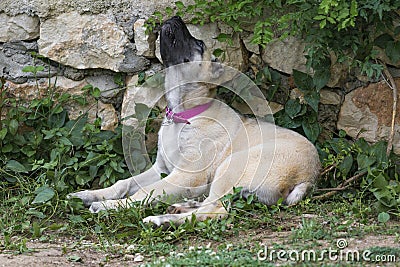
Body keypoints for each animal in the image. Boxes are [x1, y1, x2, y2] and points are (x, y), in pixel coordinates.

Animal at [68, 16, 318, 226]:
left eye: (199, 44)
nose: (175, 17)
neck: (184, 115)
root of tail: (308, 177)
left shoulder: (185, 175)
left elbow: (145, 192)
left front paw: (110, 205)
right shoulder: (161, 168)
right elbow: (125, 183)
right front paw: (89, 195)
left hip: (231, 166)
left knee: (215, 210)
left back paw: (161, 219)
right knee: (209, 203)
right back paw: (180, 206)